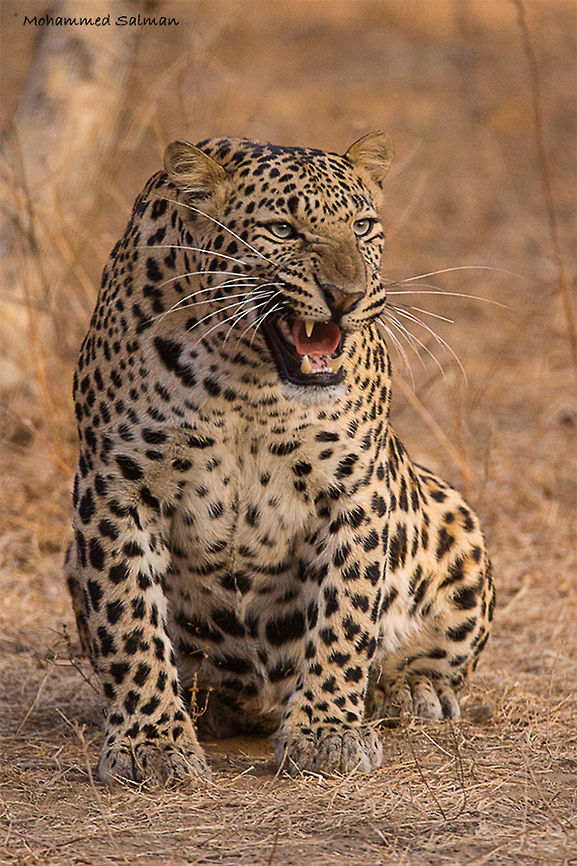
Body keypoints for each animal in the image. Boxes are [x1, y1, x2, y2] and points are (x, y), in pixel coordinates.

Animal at [65, 132, 495, 786]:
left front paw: (327, 731)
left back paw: (410, 690)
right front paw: (150, 740)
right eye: (283, 230)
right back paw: (203, 707)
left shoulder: (357, 486)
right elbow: (128, 616)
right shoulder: (116, 484)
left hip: (451, 515)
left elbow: (346, 612)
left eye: (363, 226)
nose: (345, 296)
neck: (245, 378)